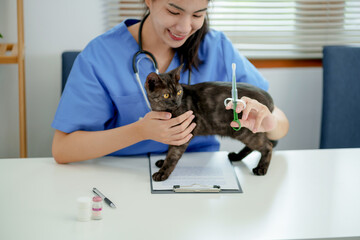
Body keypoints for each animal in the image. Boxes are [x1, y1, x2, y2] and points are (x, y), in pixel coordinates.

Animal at [145, 64, 278, 181]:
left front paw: (163, 172)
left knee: (268, 145)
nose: (177, 102)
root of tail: (269, 98)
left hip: (244, 132)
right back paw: (236, 156)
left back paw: (261, 168)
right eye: (166, 95)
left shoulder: (185, 131)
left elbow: (173, 155)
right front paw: (163, 161)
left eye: (178, 92)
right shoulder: (174, 133)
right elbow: (169, 149)